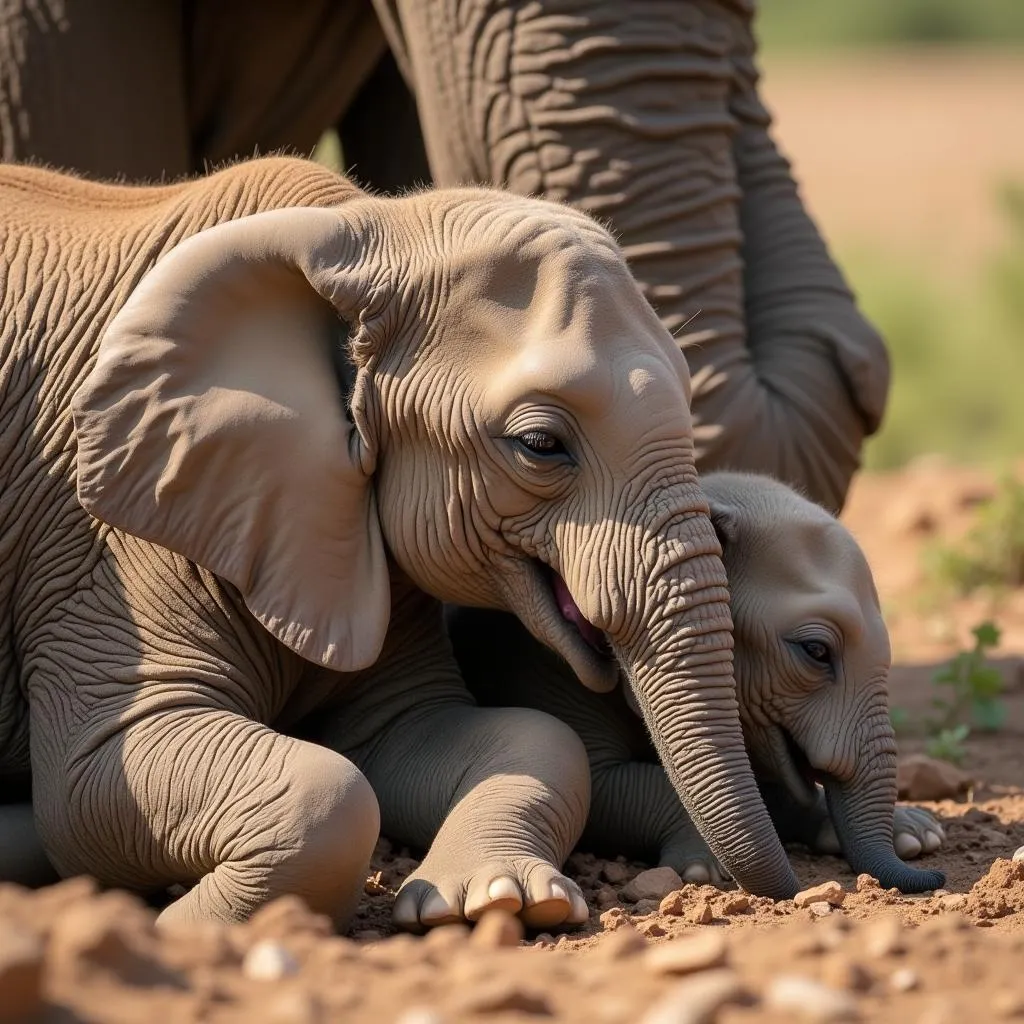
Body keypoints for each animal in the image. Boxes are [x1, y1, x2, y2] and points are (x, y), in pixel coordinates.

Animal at [452, 473, 946, 897]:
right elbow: (599, 783)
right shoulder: (552, 672)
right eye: (816, 651)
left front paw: (918, 834)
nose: (935, 875)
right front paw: (703, 869)